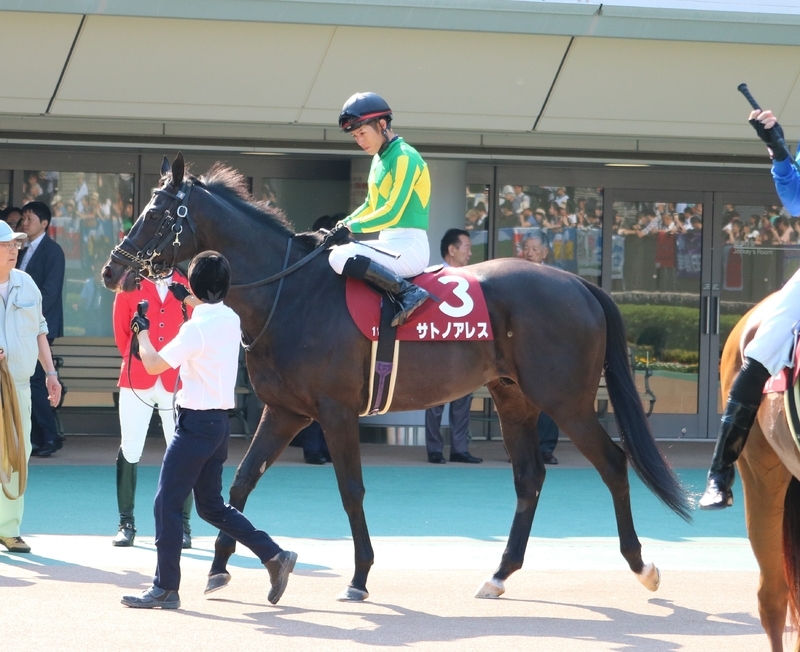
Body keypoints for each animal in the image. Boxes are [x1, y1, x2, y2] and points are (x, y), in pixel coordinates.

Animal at [98, 155, 688, 604]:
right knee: (528, 479)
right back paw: (498, 574)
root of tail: (580, 284)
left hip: (567, 401)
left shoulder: (334, 412)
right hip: (514, 398)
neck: (291, 294)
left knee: (613, 463)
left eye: (157, 213)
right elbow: (240, 484)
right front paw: (223, 566)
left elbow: (351, 490)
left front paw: (359, 577)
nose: (111, 269)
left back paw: (641, 566)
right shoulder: (285, 410)